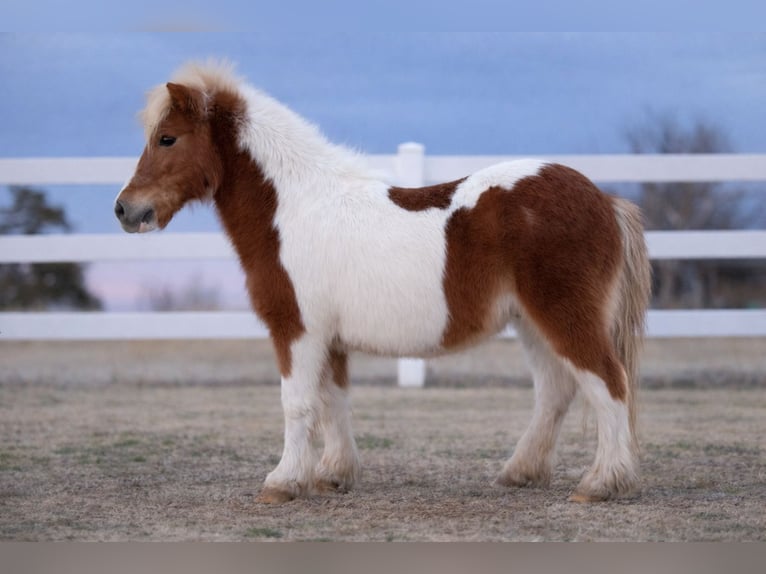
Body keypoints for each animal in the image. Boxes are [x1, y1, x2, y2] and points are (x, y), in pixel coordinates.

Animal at [115, 61, 651, 504]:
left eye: (167, 138)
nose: (125, 209)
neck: (296, 207)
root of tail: (605, 200)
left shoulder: (296, 329)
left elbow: (297, 403)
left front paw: (283, 482)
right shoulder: (328, 339)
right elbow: (333, 400)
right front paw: (333, 475)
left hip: (563, 316)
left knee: (608, 384)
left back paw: (601, 484)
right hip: (532, 322)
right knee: (556, 392)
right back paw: (520, 472)